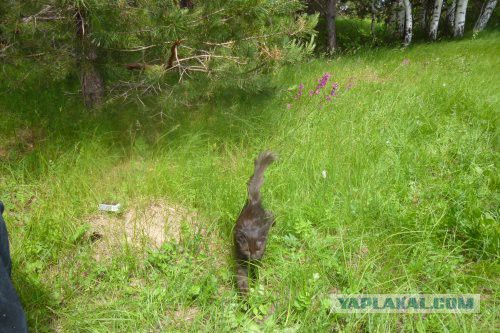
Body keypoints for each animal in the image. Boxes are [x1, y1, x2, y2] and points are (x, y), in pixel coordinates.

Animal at [234, 150, 278, 294]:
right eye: (248, 250)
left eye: (258, 249)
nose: (253, 257)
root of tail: (253, 201)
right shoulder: (240, 259)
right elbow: (241, 277)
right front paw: (245, 294)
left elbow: (257, 272)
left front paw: (257, 283)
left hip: (267, 217)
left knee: (272, 216)